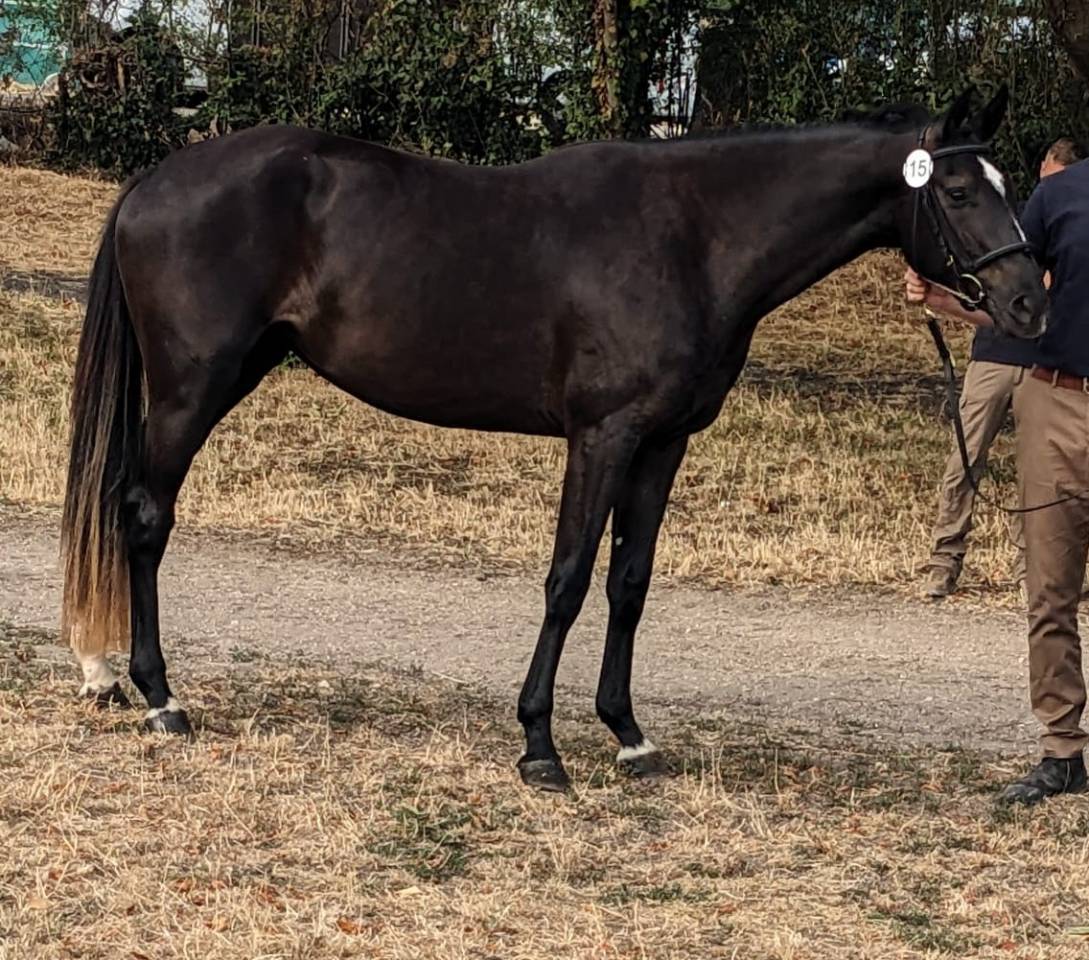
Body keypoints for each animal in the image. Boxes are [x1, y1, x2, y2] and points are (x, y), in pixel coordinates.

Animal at [61, 85, 1045, 791]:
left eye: (1011, 188)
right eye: (960, 190)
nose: (1027, 303)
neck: (691, 236)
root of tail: (155, 181)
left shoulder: (663, 443)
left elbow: (629, 584)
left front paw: (629, 737)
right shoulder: (601, 437)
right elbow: (568, 579)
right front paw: (539, 744)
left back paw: (113, 678)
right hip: (192, 390)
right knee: (144, 517)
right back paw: (159, 697)